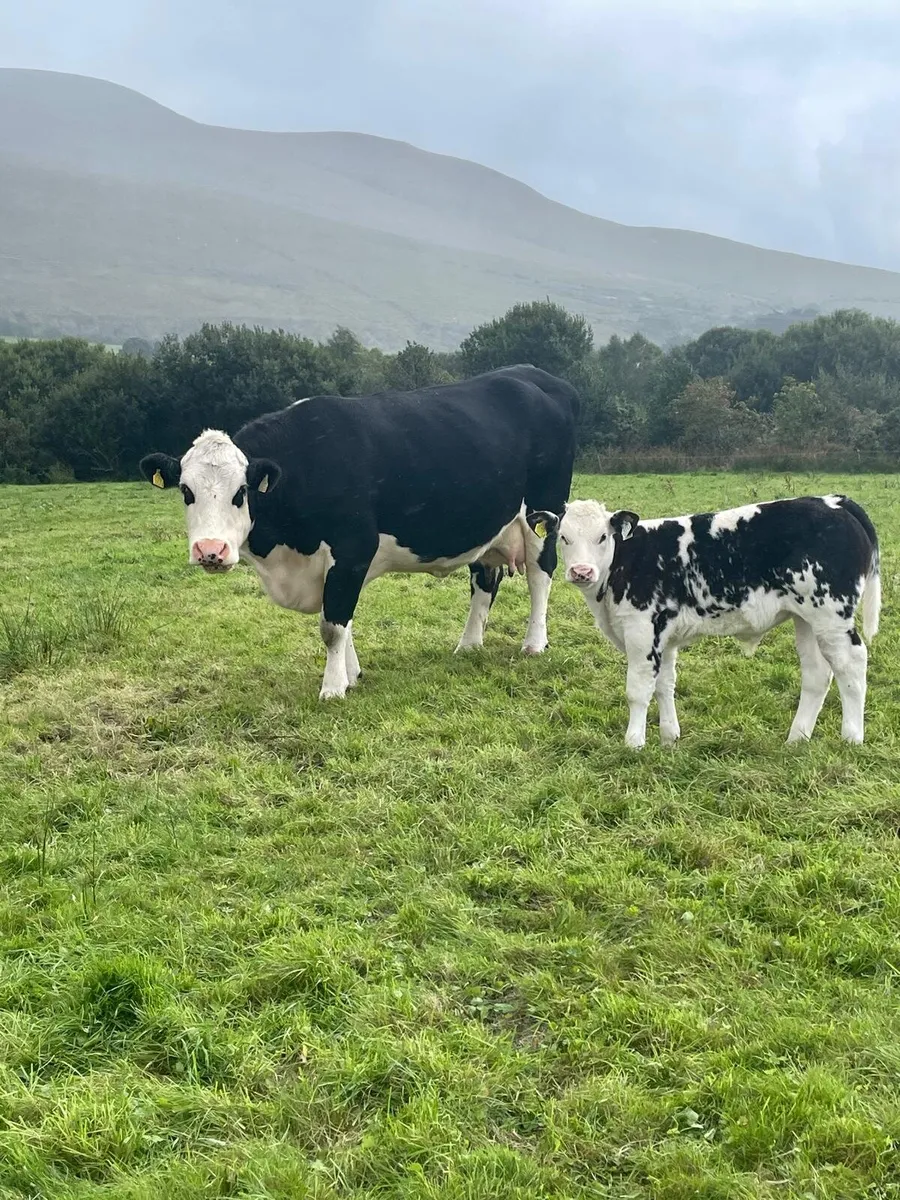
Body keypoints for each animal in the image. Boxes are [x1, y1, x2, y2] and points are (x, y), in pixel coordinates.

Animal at [139, 365, 579, 699]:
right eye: (186, 491)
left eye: (241, 492)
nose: (210, 550)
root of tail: (530, 373)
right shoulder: (337, 564)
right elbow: (341, 620)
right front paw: (352, 676)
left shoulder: (352, 550)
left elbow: (333, 626)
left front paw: (333, 688)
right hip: (487, 525)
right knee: (484, 580)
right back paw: (468, 645)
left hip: (542, 515)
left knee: (541, 575)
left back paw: (534, 644)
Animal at [527, 494, 880, 748]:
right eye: (564, 538)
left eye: (602, 537)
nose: (581, 571)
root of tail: (835, 501)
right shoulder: (665, 637)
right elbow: (664, 685)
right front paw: (669, 737)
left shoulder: (642, 631)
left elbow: (638, 690)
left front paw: (633, 743)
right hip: (806, 619)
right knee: (817, 674)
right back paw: (797, 739)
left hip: (831, 615)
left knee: (851, 664)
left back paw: (851, 737)